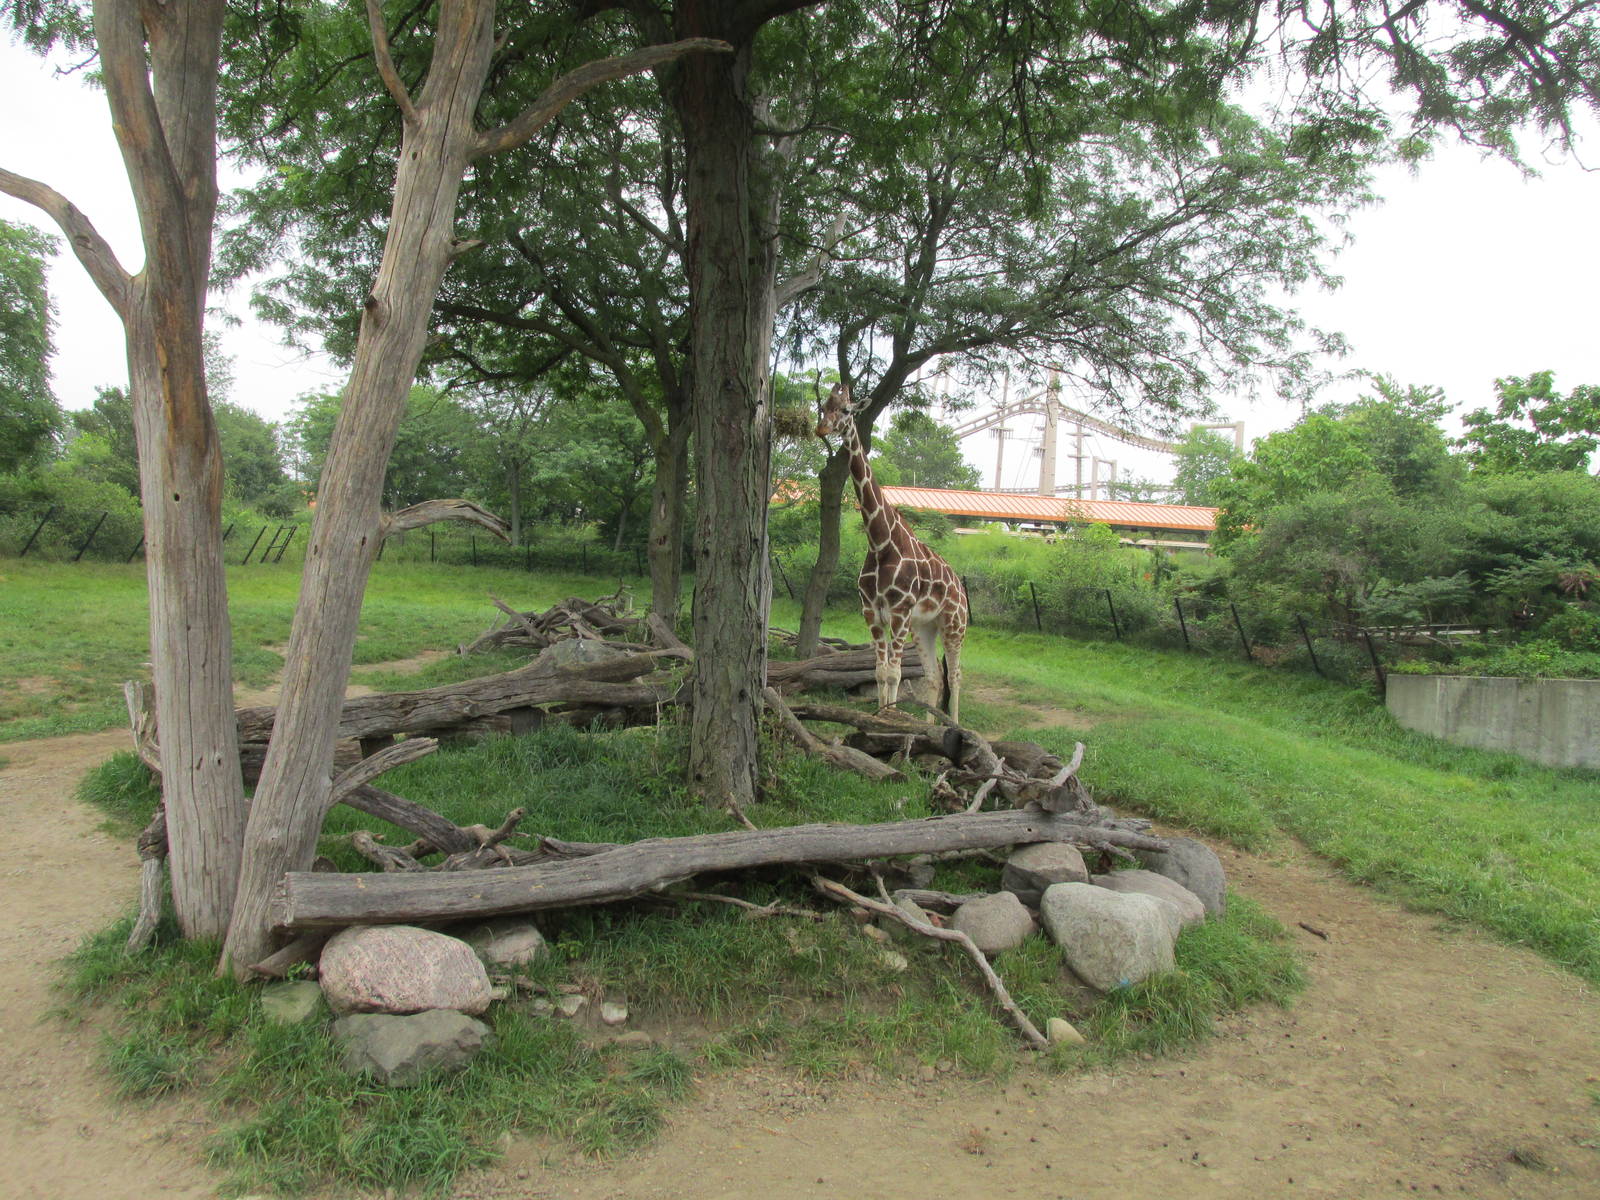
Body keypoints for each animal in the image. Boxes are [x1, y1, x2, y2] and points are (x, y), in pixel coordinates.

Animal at [815, 383, 969, 722]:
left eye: (846, 410)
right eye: (822, 407)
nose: (822, 428)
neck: (880, 543)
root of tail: (960, 587)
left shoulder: (899, 612)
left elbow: (895, 672)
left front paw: (891, 717)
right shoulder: (871, 612)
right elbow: (880, 671)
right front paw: (880, 716)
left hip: (954, 625)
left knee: (955, 676)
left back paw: (953, 725)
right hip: (924, 627)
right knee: (934, 676)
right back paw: (931, 725)